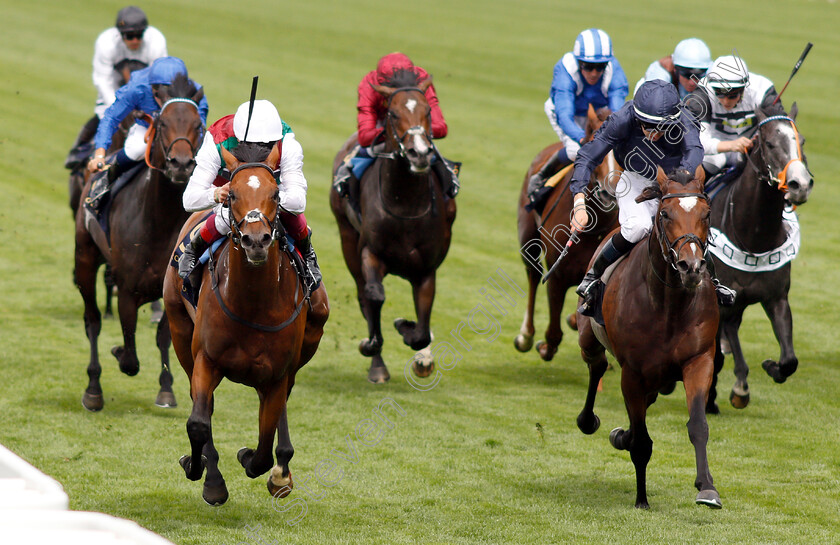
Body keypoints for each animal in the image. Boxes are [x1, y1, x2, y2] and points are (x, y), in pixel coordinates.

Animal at [73, 74, 203, 410]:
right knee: (92, 320)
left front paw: (166, 388)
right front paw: (118, 352)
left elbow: (163, 337)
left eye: (198, 124)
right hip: (85, 257)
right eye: (163, 121)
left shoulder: (173, 291)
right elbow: (130, 356)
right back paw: (93, 389)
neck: (159, 221)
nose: (181, 164)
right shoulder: (128, 289)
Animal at [162, 142, 330, 504]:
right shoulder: (206, 360)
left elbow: (264, 448)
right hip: (179, 331)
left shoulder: (277, 373)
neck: (254, 305)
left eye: (276, 194)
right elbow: (199, 422)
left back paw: (282, 471)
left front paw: (255, 460)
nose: (256, 241)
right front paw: (201, 472)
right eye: (233, 194)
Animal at [330, 69, 456, 382]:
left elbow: (422, 328)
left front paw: (410, 334)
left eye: (428, 111)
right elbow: (373, 296)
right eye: (393, 113)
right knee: (364, 296)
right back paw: (377, 365)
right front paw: (371, 345)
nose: (419, 153)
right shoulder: (370, 253)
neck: (405, 203)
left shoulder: (426, 269)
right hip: (346, 238)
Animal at [576, 167, 720, 510]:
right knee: (596, 366)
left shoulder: (699, 360)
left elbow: (698, 425)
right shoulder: (632, 373)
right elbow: (642, 441)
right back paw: (589, 421)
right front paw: (641, 499)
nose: (691, 266)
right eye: (665, 215)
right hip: (589, 337)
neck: (670, 306)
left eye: (706, 214)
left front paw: (707, 488)